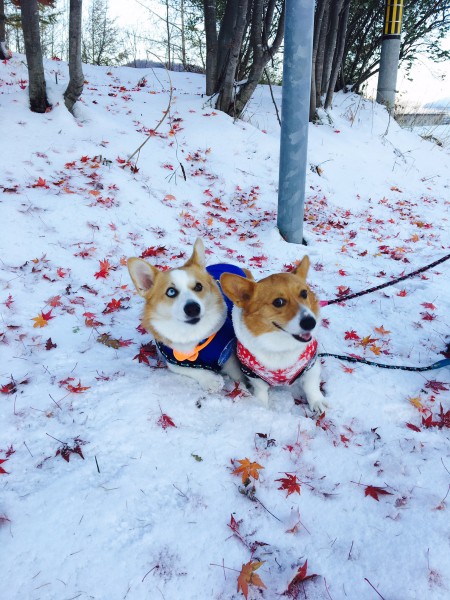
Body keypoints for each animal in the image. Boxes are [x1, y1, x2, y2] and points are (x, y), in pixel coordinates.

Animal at [126, 239, 246, 394]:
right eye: (171, 292)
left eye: (198, 287)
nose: (192, 308)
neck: (191, 334)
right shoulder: (172, 359)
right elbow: (189, 369)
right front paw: (211, 380)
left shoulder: (228, 353)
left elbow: (238, 376)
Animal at [220, 255, 326, 414]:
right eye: (278, 302)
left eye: (304, 293)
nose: (310, 322)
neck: (280, 346)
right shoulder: (252, 373)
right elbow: (261, 390)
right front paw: (261, 405)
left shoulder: (310, 364)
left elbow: (311, 385)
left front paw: (318, 402)